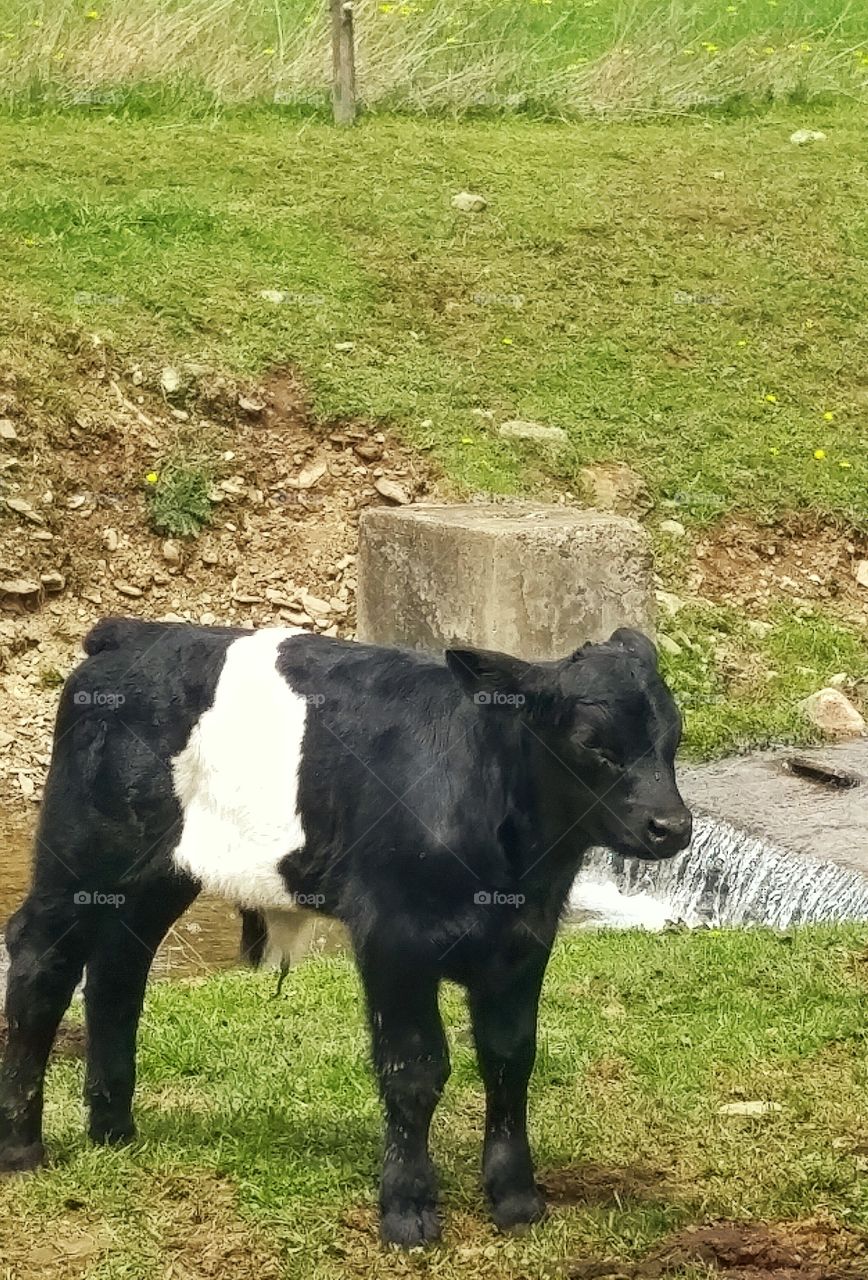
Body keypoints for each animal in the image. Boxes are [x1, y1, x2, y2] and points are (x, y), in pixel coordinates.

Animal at [0, 619, 691, 1247]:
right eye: (592, 742)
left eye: (673, 737)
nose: (673, 827)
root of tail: (128, 634)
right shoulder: (393, 936)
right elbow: (414, 1067)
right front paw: (408, 1212)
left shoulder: (524, 942)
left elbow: (509, 1058)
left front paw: (517, 1201)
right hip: (78, 855)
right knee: (42, 962)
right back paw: (23, 1148)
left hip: (153, 879)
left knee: (118, 973)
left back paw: (114, 1132)